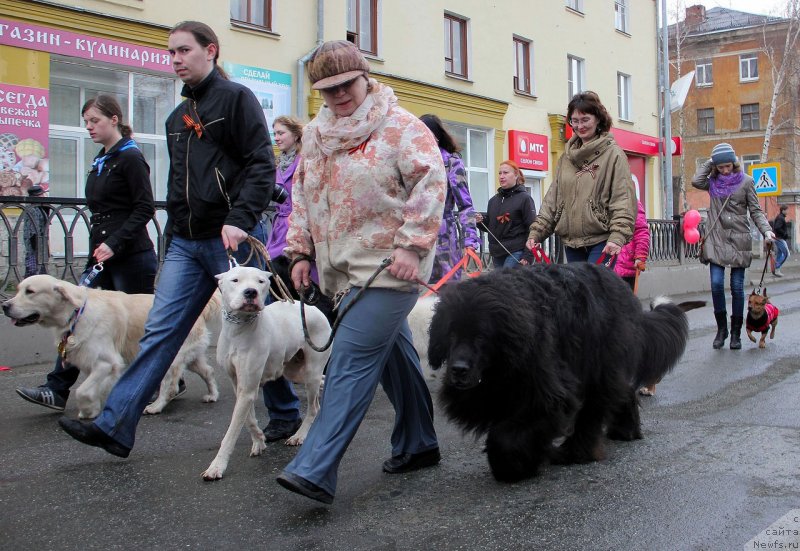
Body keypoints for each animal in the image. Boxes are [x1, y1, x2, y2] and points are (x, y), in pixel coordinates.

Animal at [3, 276, 219, 418]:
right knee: (208, 371)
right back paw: (212, 395)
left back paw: (156, 406)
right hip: (191, 356)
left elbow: (82, 391)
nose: (5, 306)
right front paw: (91, 408)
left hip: (170, 356)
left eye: (30, 292)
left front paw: (87, 410)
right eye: (19, 289)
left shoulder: (106, 362)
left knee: (171, 386)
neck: (77, 312)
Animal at [206, 266, 334, 478]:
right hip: (292, 370)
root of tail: (311, 308)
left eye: (261, 281)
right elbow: (248, 419)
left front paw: (217, 466)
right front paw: (259, 440)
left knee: (314, 407)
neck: (239, 327)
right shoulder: (240, 386)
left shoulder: (248, 388)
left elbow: (232, 432)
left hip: (310, 371)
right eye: (235, 280)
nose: (251, 292)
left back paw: (299, 436)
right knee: (319, 383)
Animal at [432, 264, 700, 484]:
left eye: (481, 336)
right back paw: (626, 432)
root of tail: (626, 293)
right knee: (622, 393)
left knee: (593, 411)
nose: (458, 369)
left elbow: (509, 433)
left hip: (598, 366)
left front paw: (512, 466)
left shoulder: (546, 393)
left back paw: (575, 452)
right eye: (451, 334)